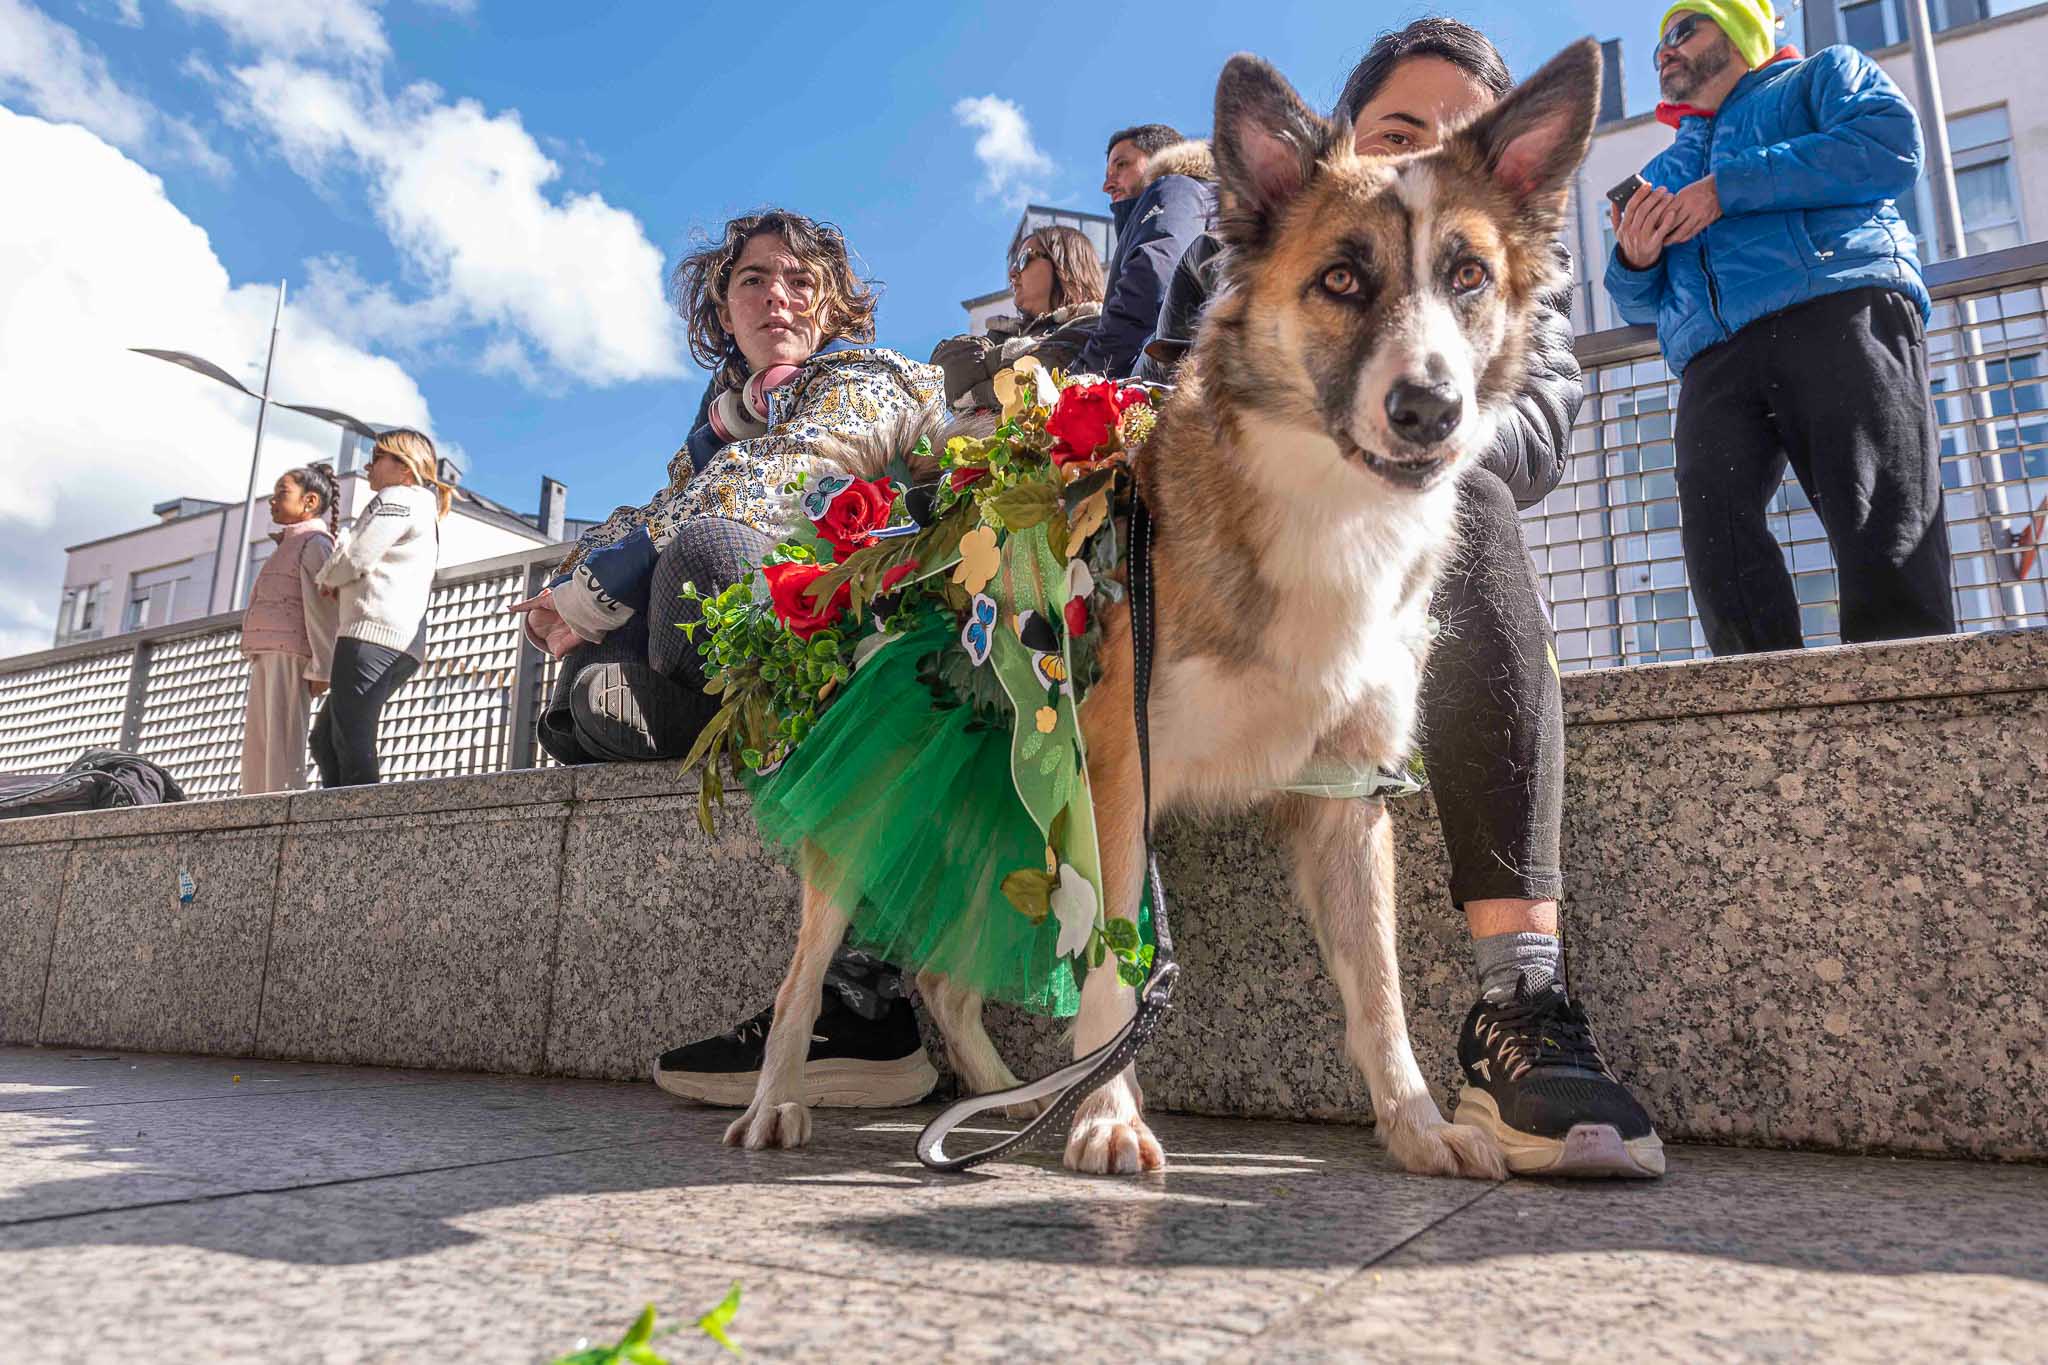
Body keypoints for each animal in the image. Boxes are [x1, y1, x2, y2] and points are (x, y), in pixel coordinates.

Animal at [729, 37, 1605, 1178]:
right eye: (1340, 278)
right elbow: (1113, 967)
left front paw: (1414, 1122)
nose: (1430, 410)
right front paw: (1106, 1115)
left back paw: (1001, 1102)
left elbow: (1377, 991)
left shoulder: (1343, 797)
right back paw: (783, 1097)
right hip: (889, 806)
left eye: (1469, 277)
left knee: (944, 979)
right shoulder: (1115, 775)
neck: (1325, 505)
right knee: (805, 973)